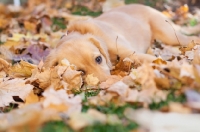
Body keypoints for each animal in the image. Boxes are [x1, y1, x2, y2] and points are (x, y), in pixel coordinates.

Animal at [45, 4, 200, 81]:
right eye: (80, 72)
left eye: (98, 59)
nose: (109, 83)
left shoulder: (132, 53)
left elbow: (154, 60)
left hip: (169, 34)